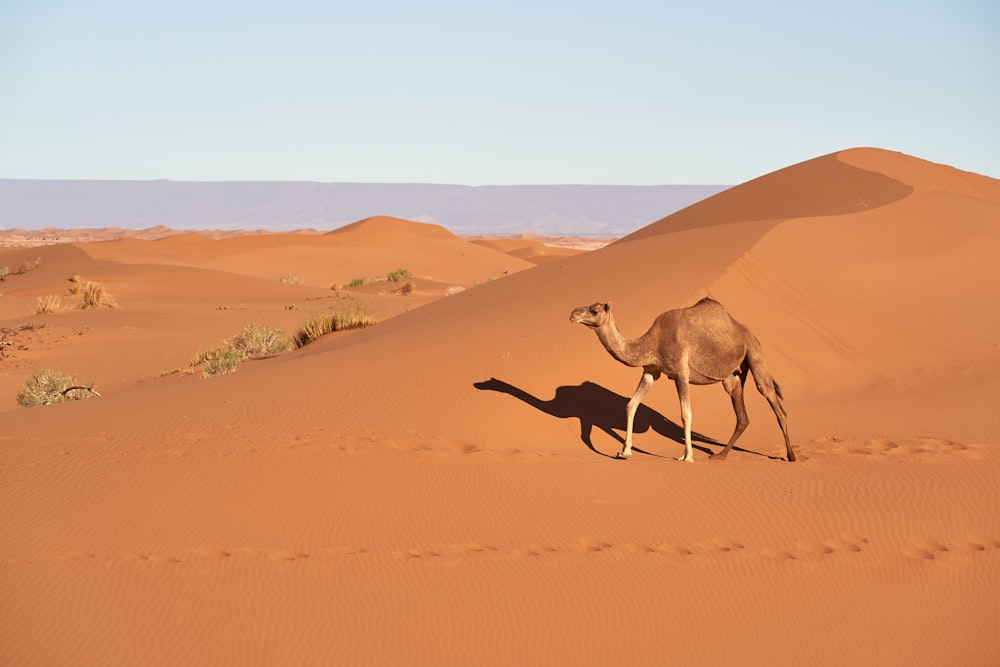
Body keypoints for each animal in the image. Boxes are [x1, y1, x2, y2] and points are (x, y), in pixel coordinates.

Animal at [572, 298, 796, 464]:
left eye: (594, 310)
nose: (573, 313)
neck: (652, 342)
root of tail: (747, 331)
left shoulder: (681, 372)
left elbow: (686, 414)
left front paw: (687, 457)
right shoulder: (651, 371)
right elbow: (631, 404)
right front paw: (624, 452)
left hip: (755, 352)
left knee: (772, 399)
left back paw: (791, 455)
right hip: (733, 375)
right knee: (742, 415)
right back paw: (720, 455)